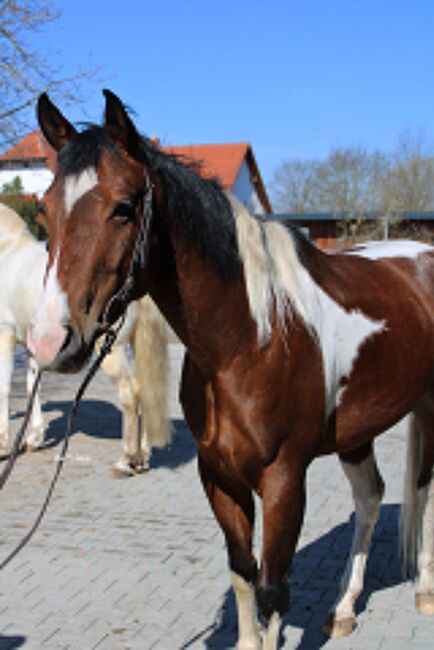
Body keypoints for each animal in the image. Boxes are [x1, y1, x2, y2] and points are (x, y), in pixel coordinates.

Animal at [0, 202, 170, 476]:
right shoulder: (34, 345)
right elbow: (31, 385)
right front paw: (34, 438)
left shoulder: (4, 336)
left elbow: (4, 387)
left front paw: (3, 447)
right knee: (144, 391)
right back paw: (142, 457)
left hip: (111, 348)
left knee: (129, 393)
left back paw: (127, 460)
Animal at [28, 90, 434, 644]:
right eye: (45, 210)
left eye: (124, 208)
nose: (50, 340)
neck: (249, 340)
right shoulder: (218, 474)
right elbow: (243, 573)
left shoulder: (284, 480)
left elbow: (272, 589)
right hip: (357, 429)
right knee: (370, 497)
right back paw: (345, 608)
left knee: (425, 492)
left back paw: (424, 590)